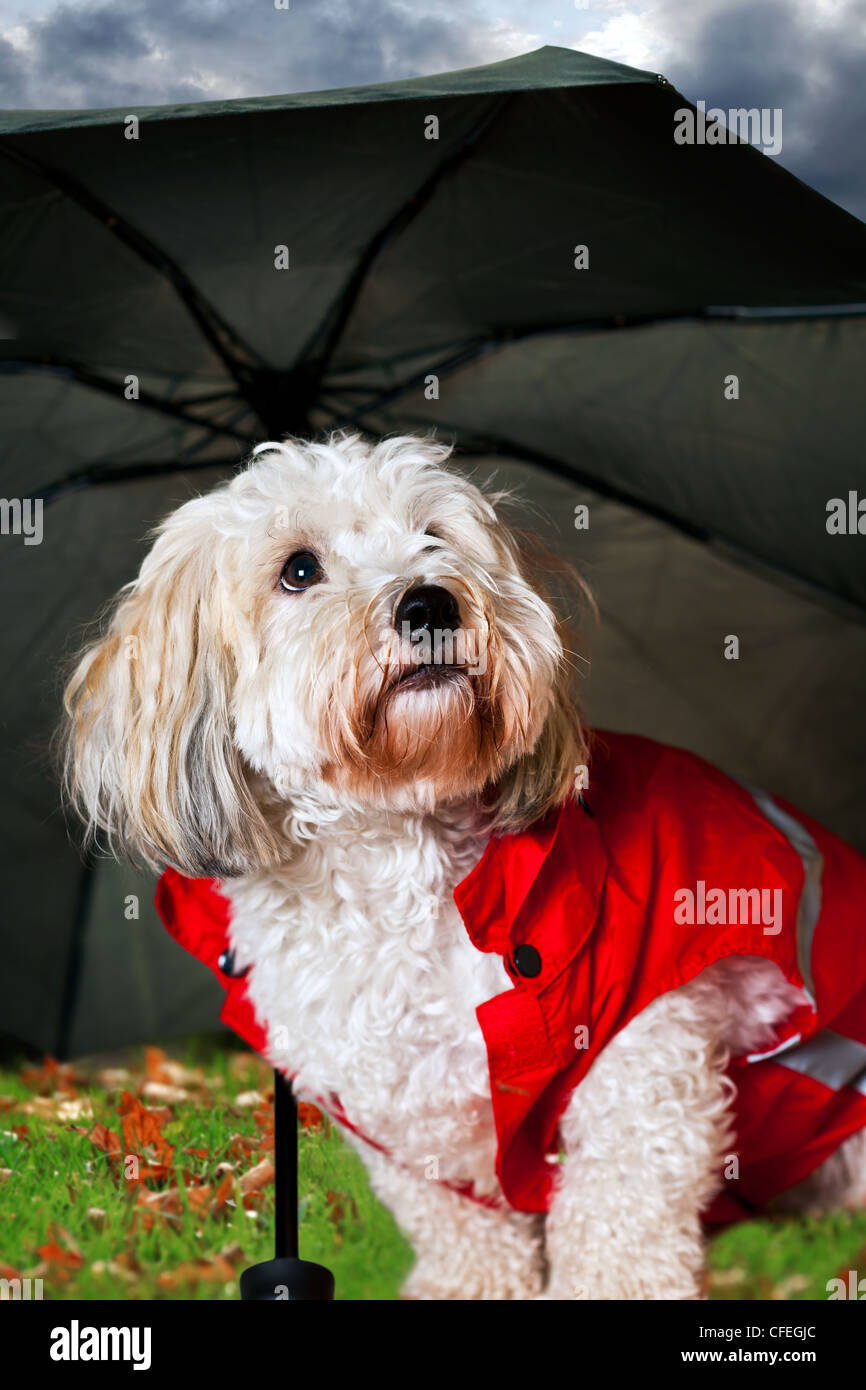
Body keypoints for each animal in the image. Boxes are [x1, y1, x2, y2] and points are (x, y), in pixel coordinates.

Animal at [62, 433, 866, 1301]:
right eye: (299, 570)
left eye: (434, 538)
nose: (429, 604)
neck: (396, 866)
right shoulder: (411, 1121)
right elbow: (463, 1233)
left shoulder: (641, 1055)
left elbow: (619, 1220)